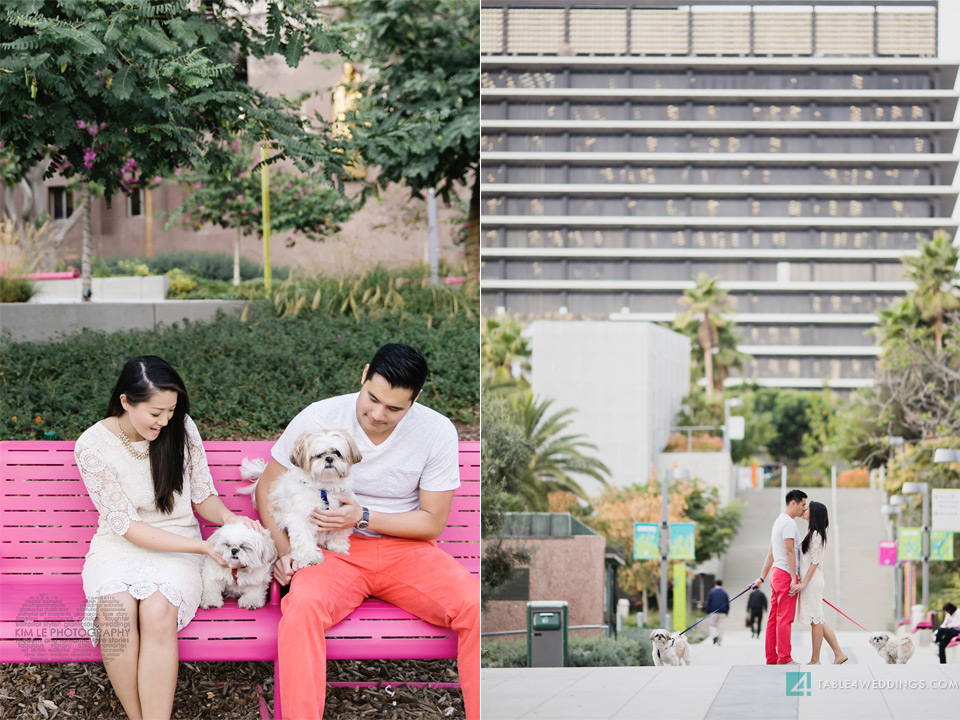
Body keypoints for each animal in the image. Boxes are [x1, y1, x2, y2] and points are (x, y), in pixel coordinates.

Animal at [238, 430, 362, 572]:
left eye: (337, 453)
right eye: (319, 455)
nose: (329, 458)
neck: (324, 487)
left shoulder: (343, 511)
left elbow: (339, 532)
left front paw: (337, 547)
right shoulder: (300, 517)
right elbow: (303, 538)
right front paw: (310, 558)